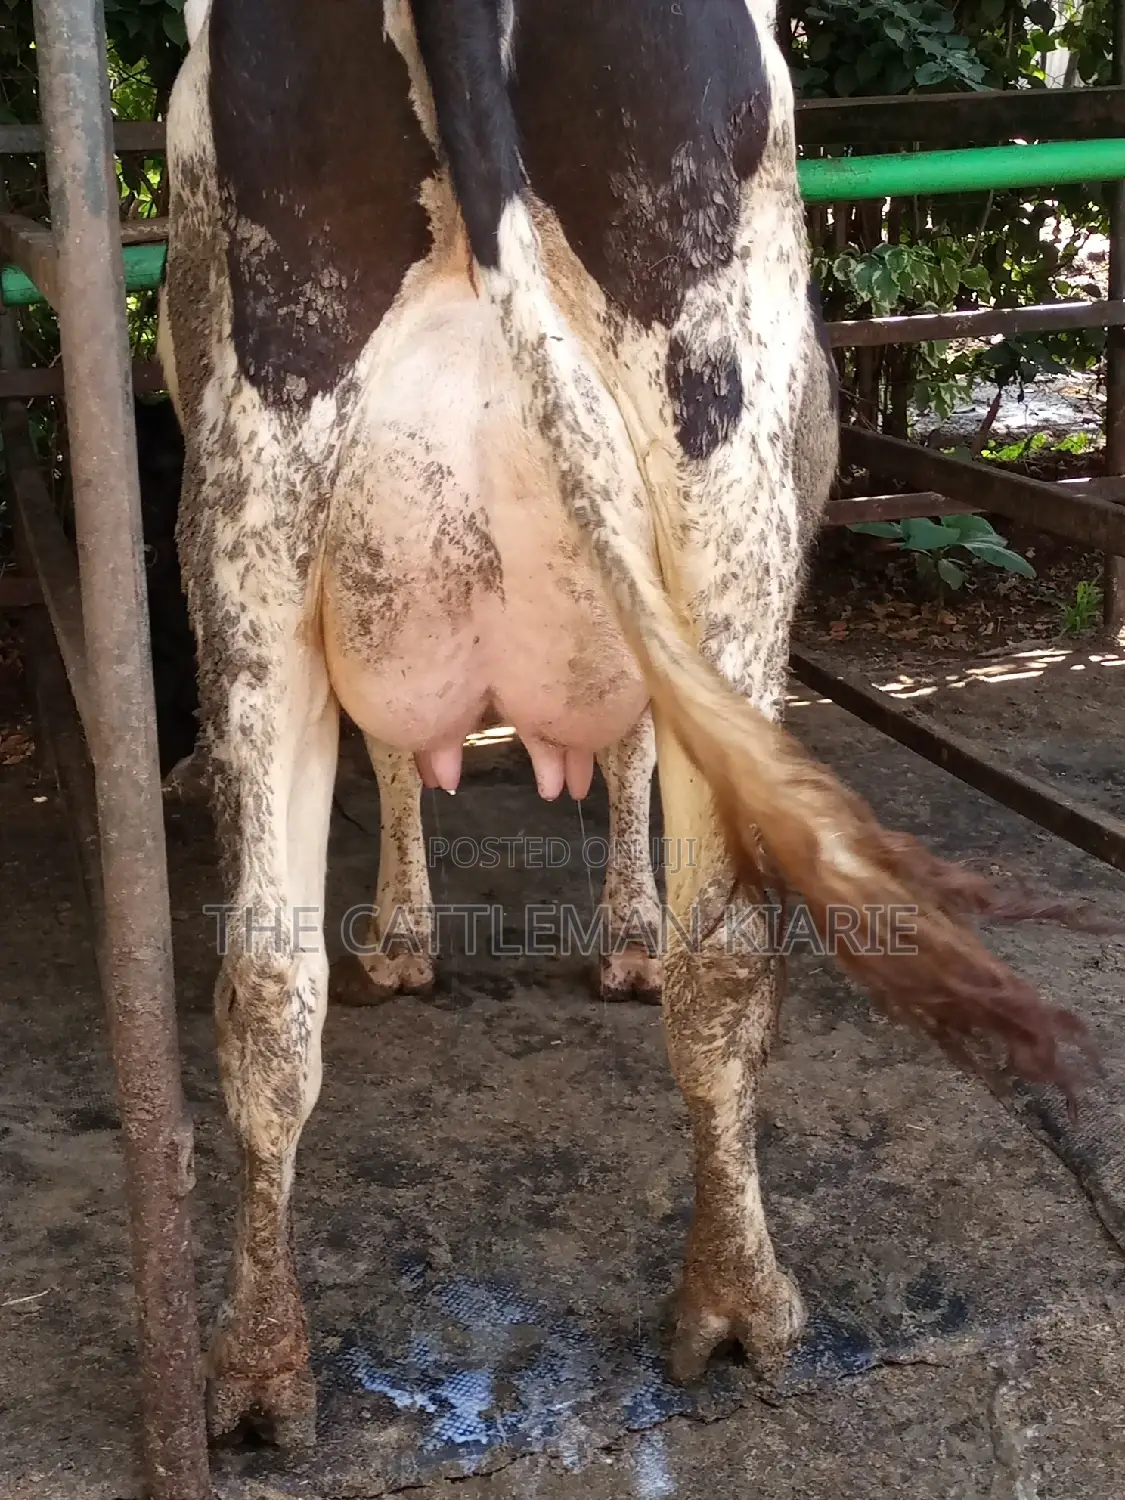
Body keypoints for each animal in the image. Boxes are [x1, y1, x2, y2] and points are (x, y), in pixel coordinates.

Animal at [156, 0, 1090, 1447]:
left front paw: (423, 935)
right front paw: (606, 935)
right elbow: (633, 756)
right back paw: (742, 1307)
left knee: (264, 978)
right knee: (730, 953)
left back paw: (260, 1375)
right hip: (730, 479)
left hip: (254, 508)